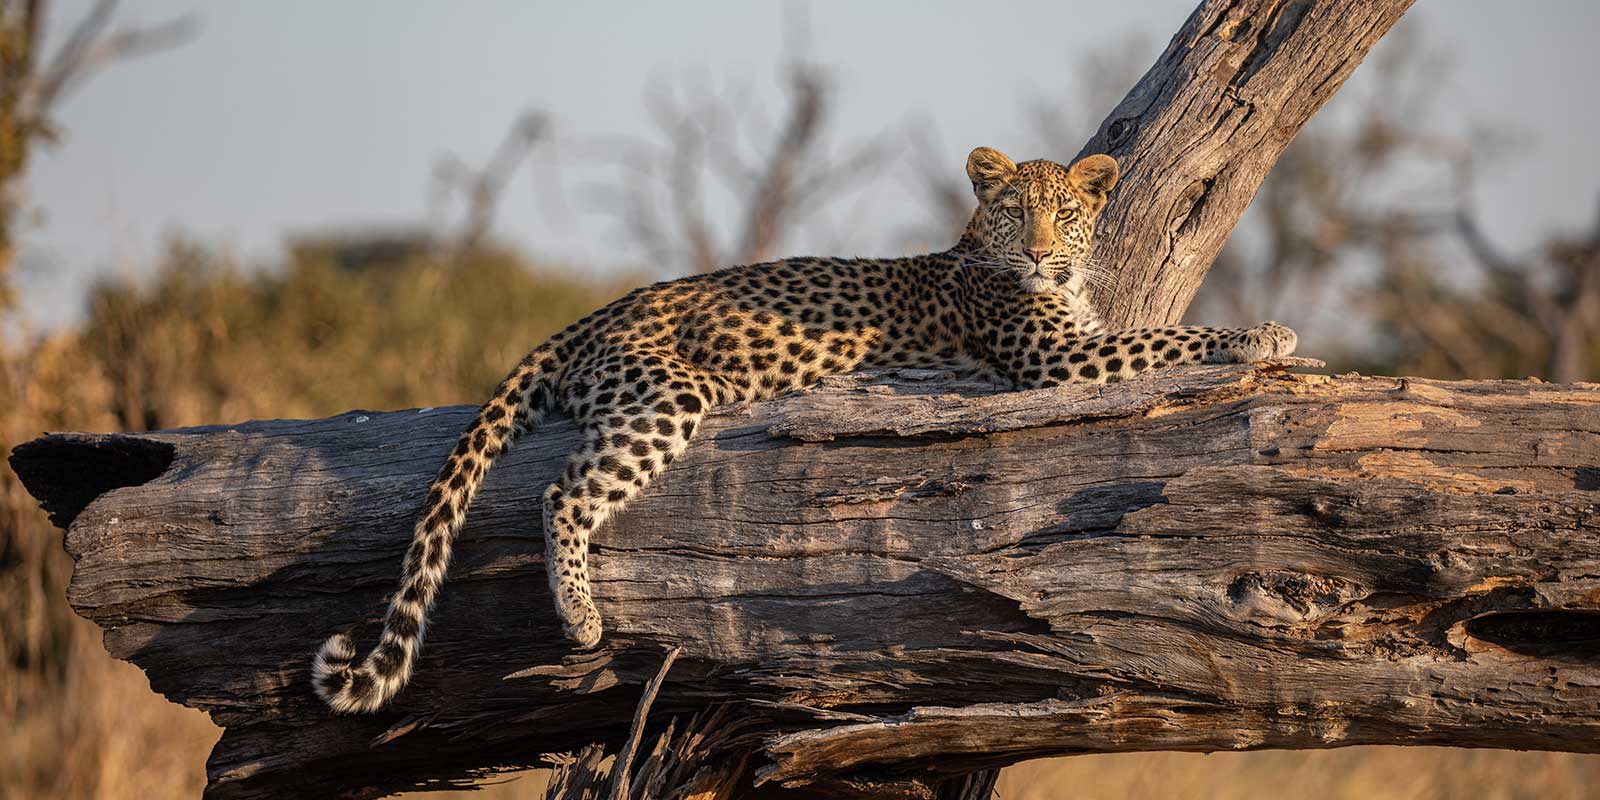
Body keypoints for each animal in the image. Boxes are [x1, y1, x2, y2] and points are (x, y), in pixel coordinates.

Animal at [311, 146, 1297, 713]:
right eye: (1016, 213)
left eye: (1066, 214)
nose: (1041, 253)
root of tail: (595, 315)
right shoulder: (1054, 359)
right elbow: (1165, 337)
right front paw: (1262, 333)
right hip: (669, 397)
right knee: (561, 492)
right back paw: (583, 617)